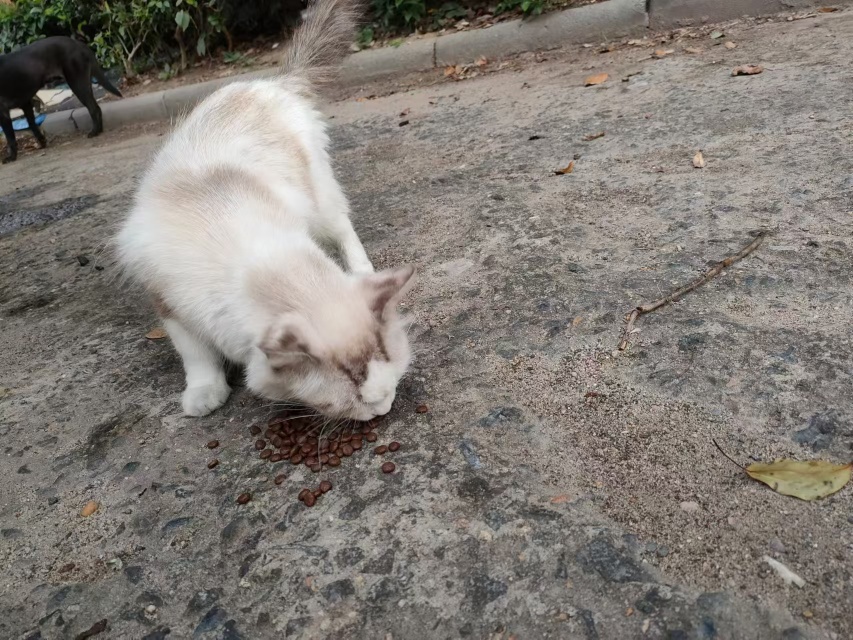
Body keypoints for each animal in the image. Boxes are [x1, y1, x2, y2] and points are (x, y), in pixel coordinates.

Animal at [115, 0, 415, 420]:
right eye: (355, 401)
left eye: (391, 383)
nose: (383, 410)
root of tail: (273, 82)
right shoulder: (170, 302)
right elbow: (196, 356)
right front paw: (204, 393)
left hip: (319, 198)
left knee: (343, 228)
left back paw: (361, 270)